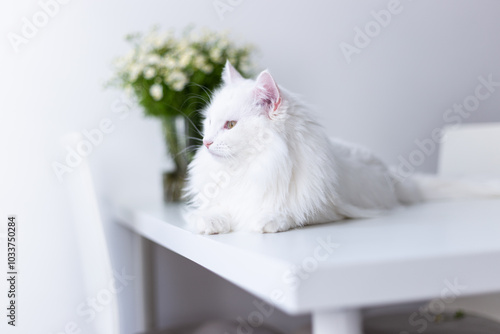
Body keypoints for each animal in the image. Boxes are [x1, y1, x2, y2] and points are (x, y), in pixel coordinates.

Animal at [186, 62, 498, 235]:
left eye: (230, 125)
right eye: (209, 122)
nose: (206, 142)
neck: (251, 168)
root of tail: (396, 179)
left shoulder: (327, 209)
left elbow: (287, 213)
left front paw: (268, 220)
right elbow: (219, 210)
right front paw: (209, 222)